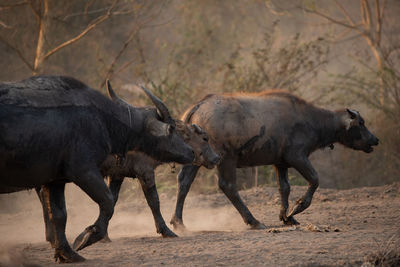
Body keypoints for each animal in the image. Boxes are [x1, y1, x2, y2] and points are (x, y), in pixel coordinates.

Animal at [170, 90, 380, 230]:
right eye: (361, 123)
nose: (375, 140)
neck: (312, 120)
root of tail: (198, 107)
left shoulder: (280, 163)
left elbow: (284, 188)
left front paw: (286, 217)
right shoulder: (297, 157)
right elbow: (314, 179)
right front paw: (297, 208)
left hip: (197, 159)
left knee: (184, 182)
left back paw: (178, 222)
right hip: (226, 158)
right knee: (227, 186)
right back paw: (253, 221)